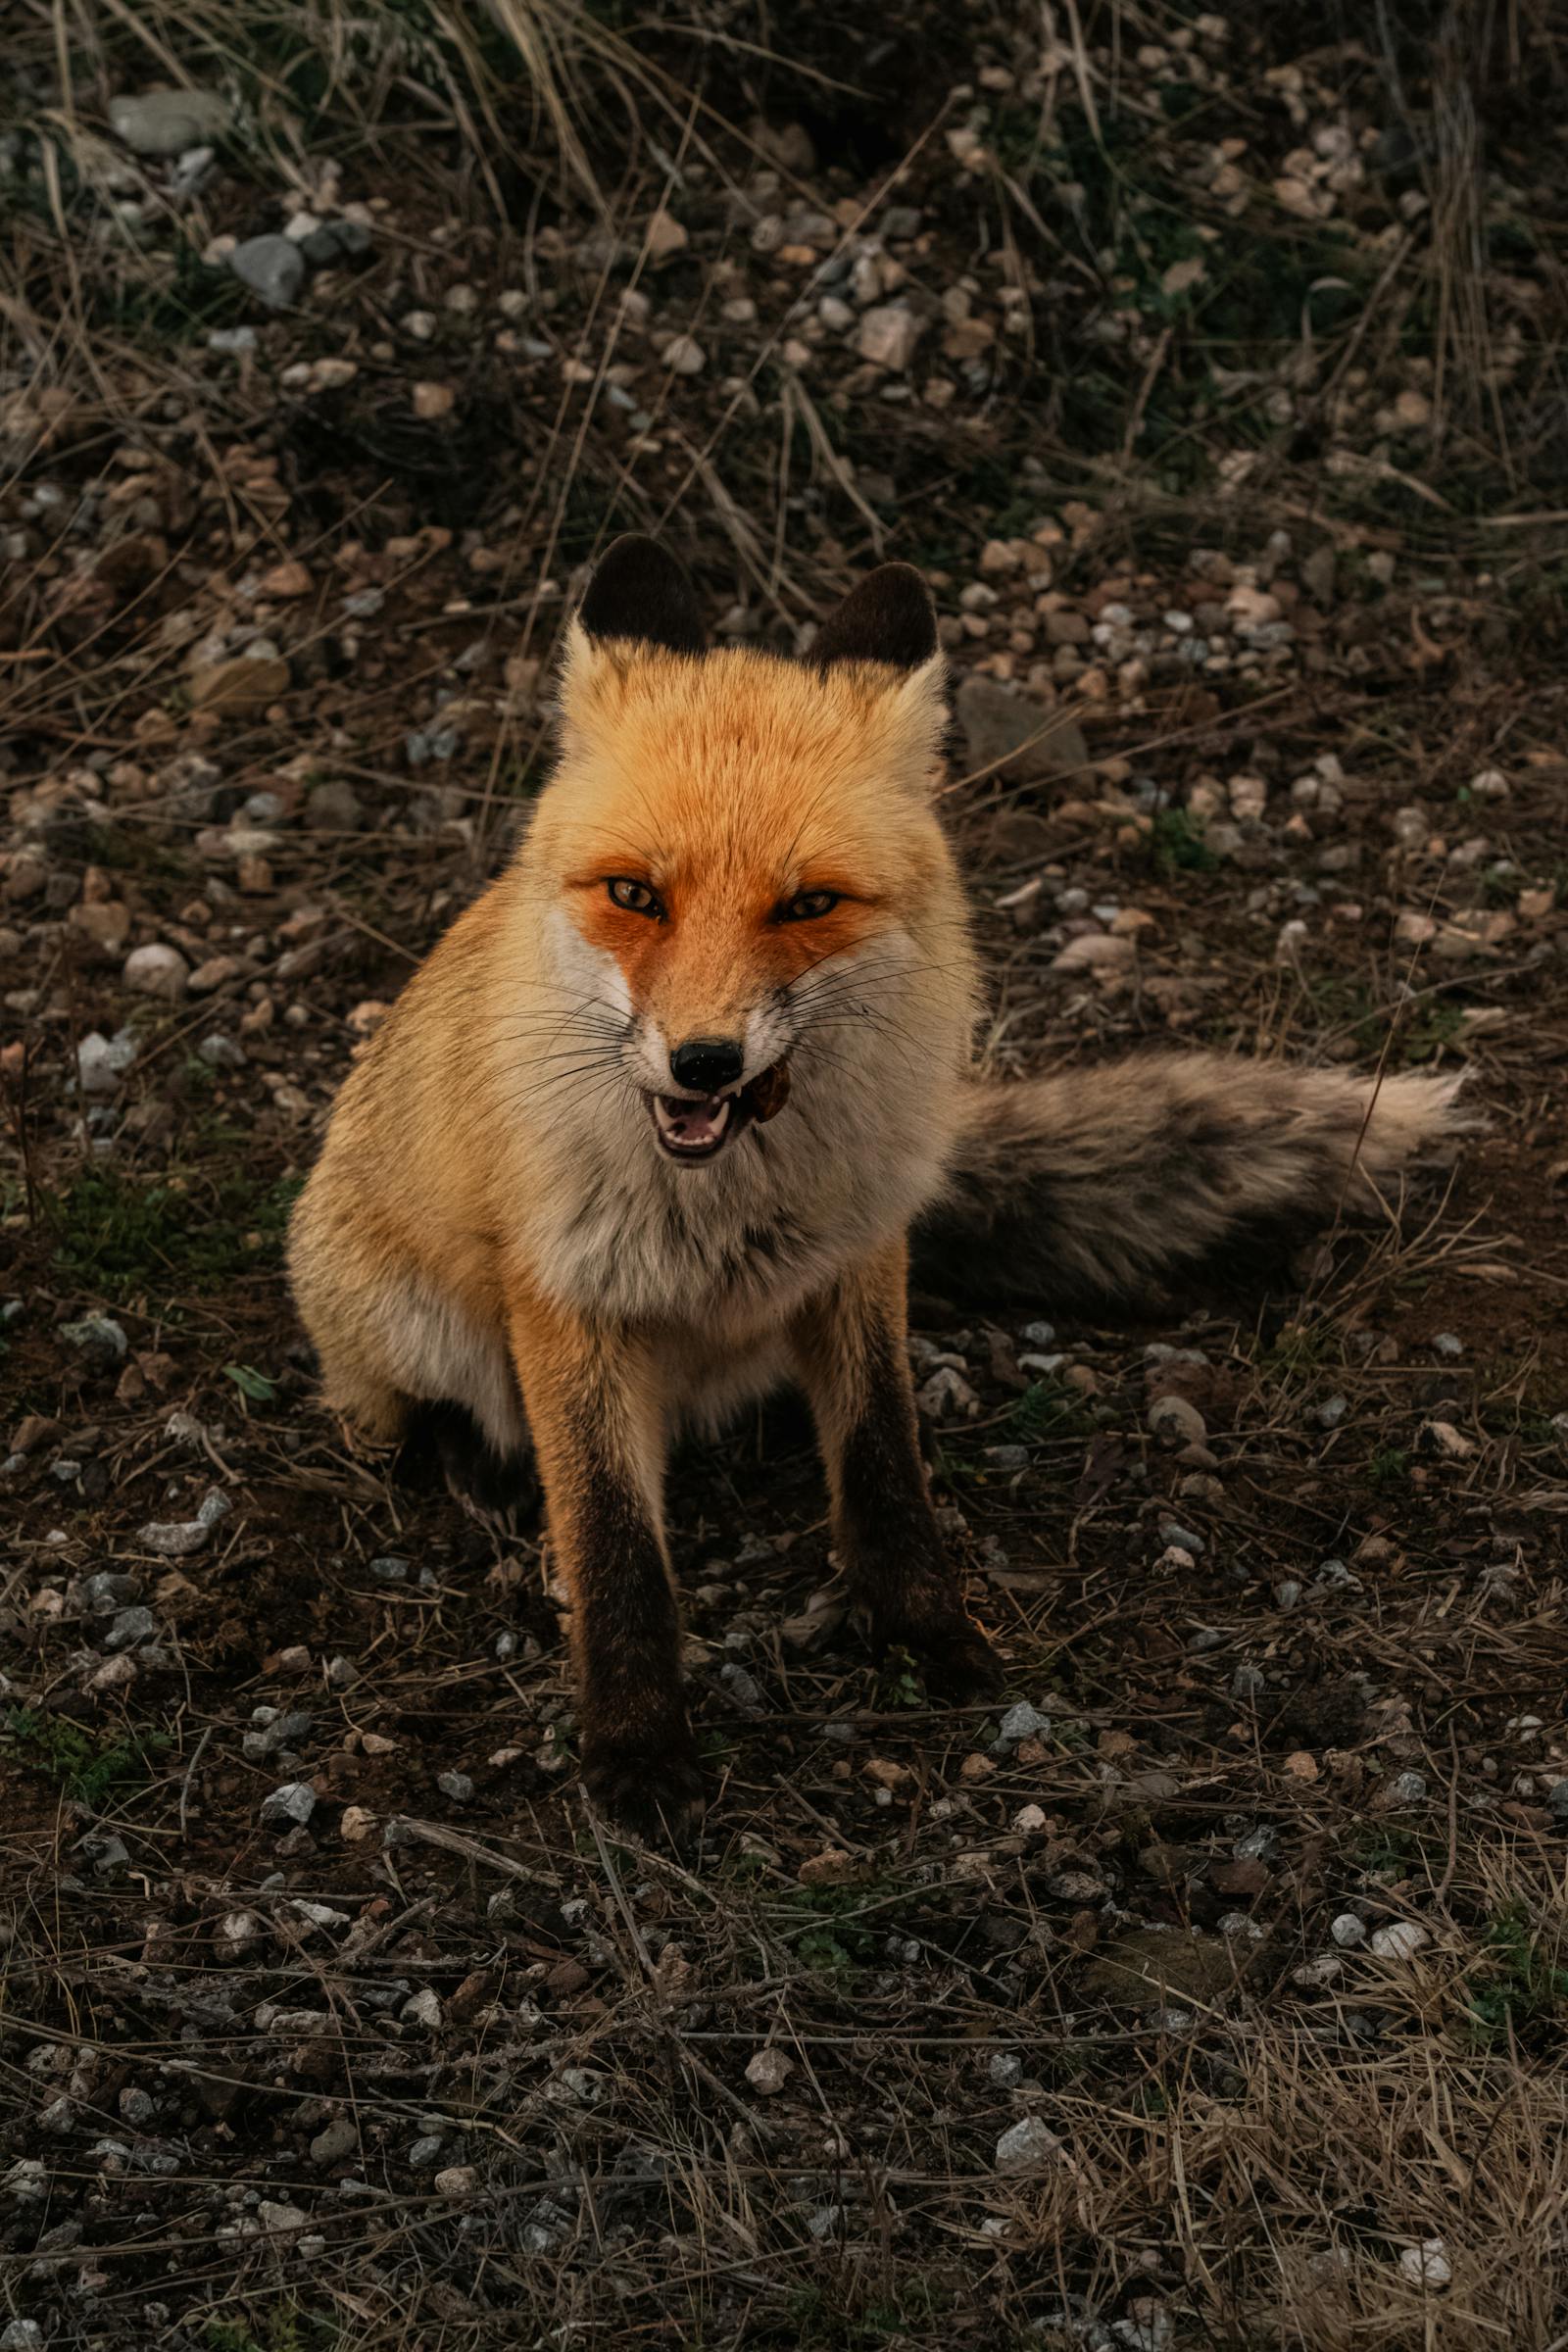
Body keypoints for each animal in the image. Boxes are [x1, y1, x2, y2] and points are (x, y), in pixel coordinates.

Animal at [288, 535, 1464, 1839]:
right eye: (635, 895)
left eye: (807, 904)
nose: (703, 1061)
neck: (730, 1203)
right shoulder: (565, 1296)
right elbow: (611, 1541)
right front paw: (637, 1749)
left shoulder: (859, 1256)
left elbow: (884, 1463)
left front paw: (922, 1629)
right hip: (397, 1310)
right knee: (408, 1407)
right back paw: (477, 1461)